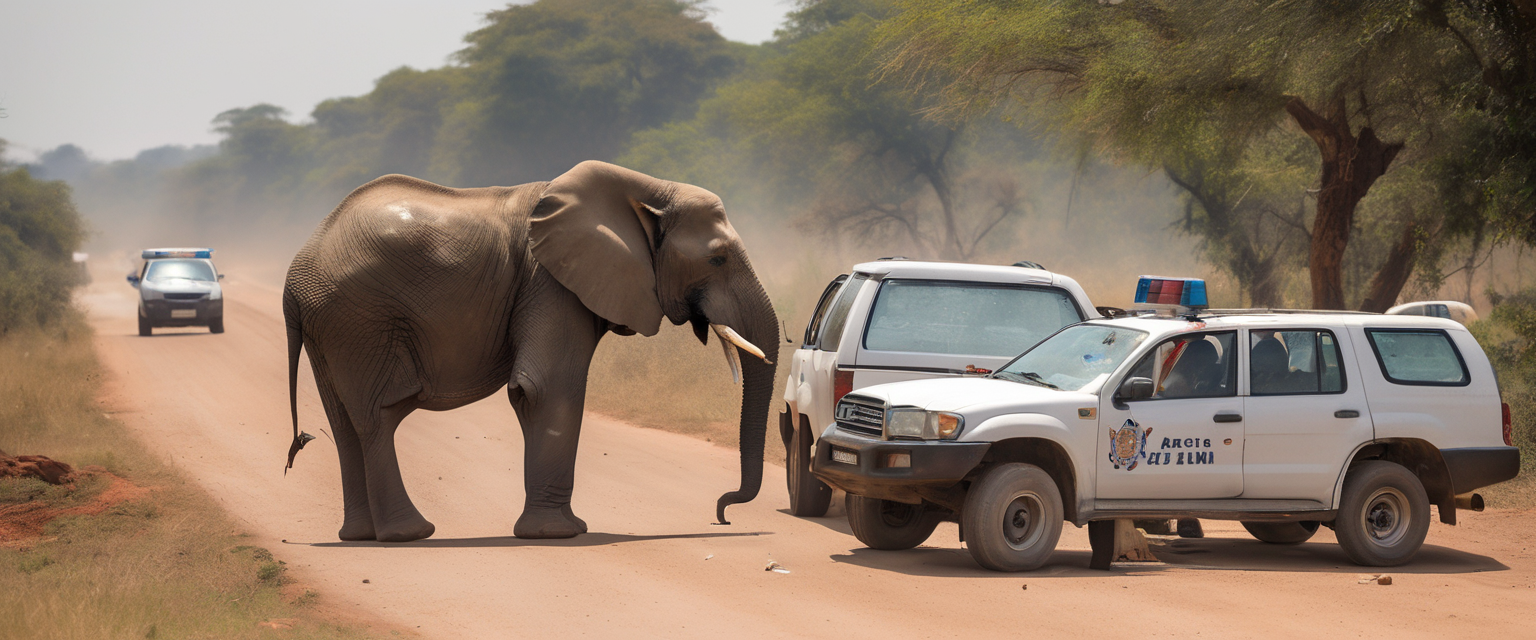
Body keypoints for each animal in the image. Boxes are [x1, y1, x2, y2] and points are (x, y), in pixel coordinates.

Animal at [282, 160, 778, 542]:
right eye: (717, 259)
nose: (722, 513)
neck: (645, 186)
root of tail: (295, 277)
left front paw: (567, 528)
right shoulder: (550, 283)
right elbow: (546, 388)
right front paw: (558, 534)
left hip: (332, 328)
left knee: (345, 422)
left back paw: (361, 537)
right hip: (360, 322)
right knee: (378, 418)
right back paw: (411, 534)